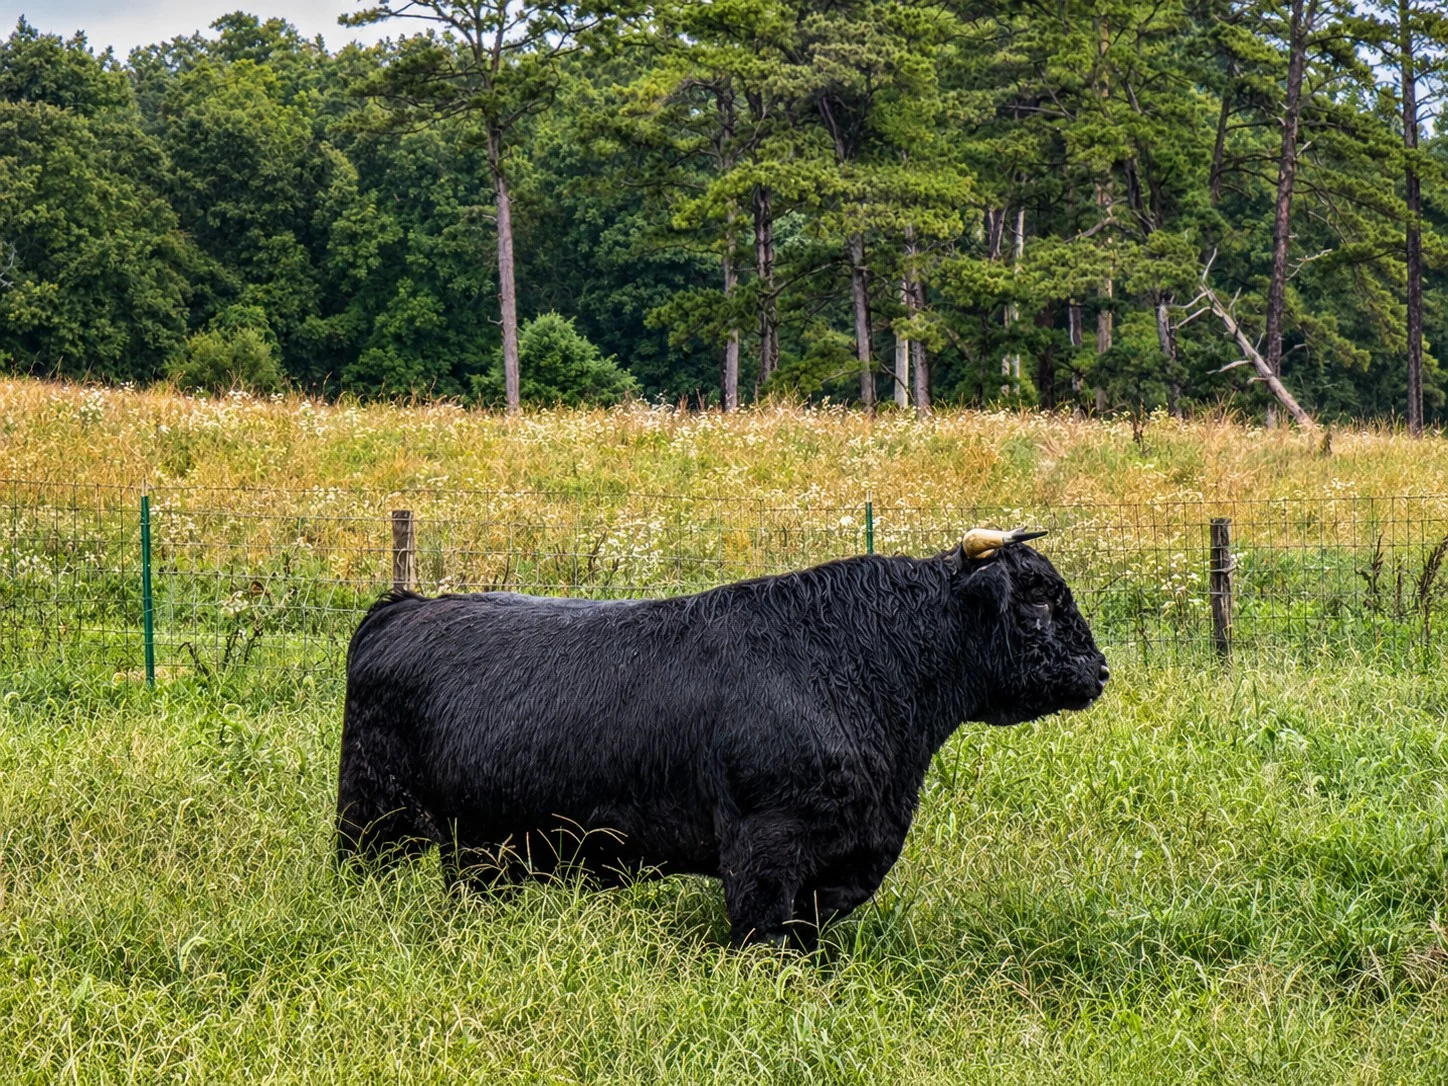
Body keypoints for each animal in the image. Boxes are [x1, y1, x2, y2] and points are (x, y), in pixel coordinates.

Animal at [335, 527, 1107, 947]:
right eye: (1042, 602)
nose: (1100, 669)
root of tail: (407, 605)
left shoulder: (847, 856)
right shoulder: (765, 846)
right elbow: (763, 935)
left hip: (480, 848)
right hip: (370, 817)